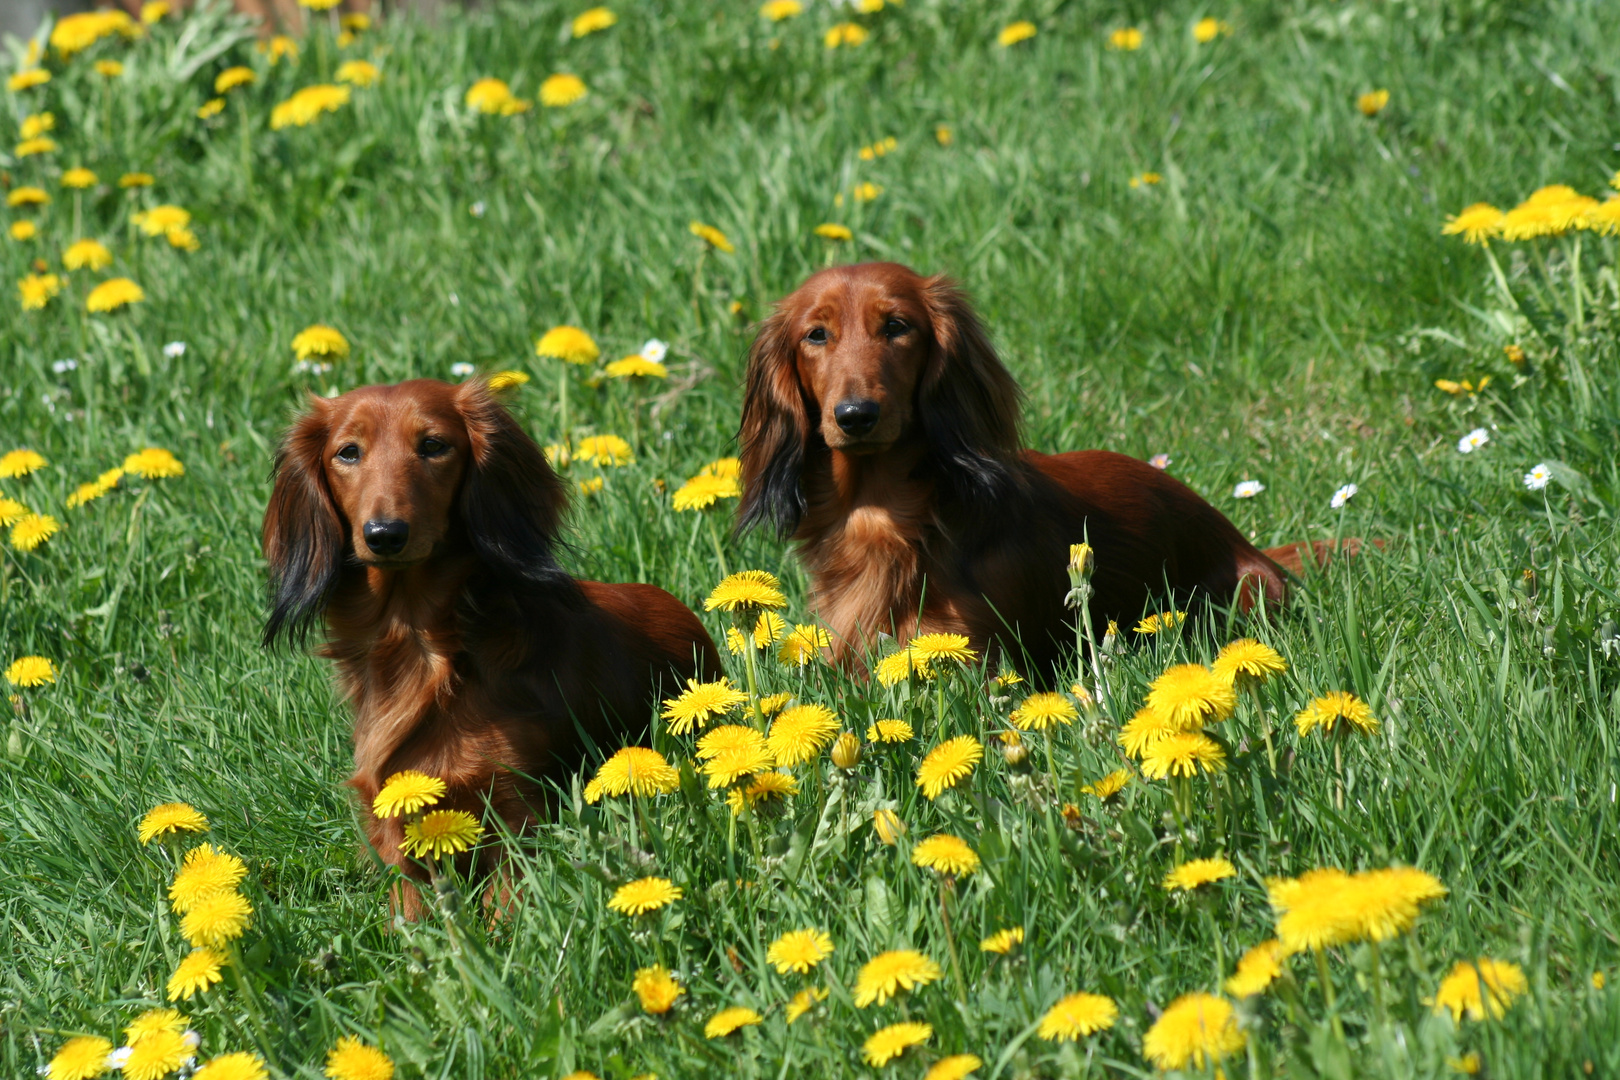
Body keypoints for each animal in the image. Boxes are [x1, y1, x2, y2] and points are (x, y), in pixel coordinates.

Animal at [262, 380, 719, 913]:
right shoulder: (398, 822)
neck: (422, 648)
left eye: (434, 445)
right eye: (348, 452)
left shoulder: (516, 811)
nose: (384, 535)